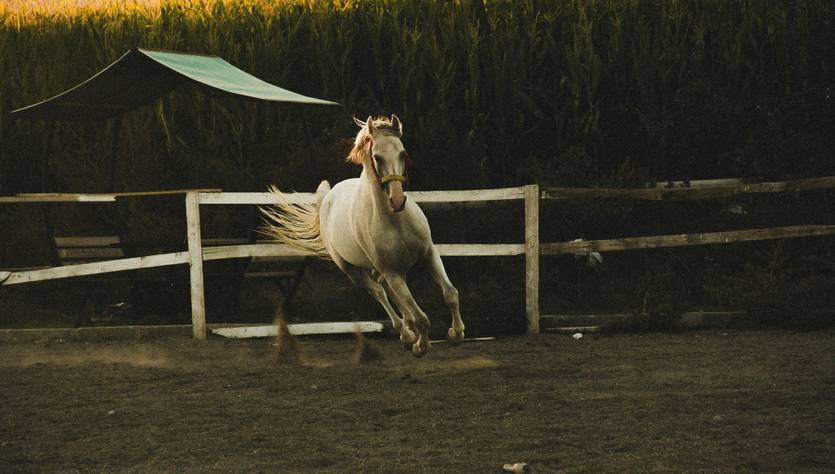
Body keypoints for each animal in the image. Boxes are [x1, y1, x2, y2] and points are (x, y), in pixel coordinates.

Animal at [261, 115, 464, 357]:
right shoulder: (391, 272)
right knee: (380, 293)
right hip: (353, 270)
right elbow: (421, 317)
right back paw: (406, 335)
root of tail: (328, 197)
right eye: (377, 157)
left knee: (391, 293)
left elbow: (450, 293)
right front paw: (419, 347)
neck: (395, 220)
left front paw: (456, 334)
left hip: (384, 269)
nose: (397, 200)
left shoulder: (429, 254)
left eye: (403, 152)